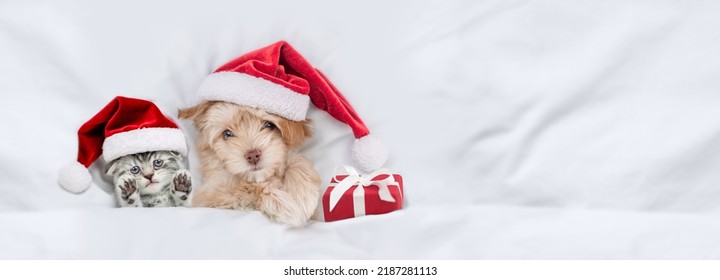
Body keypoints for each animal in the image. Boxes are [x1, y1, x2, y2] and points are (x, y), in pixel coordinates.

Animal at [177, 101, 320, 226]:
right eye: (227, 133)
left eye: (269, 125)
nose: (253, 155)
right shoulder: (212, 195)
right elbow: (247, 190)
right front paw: (283, 205)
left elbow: (297, 161)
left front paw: (303, 196)